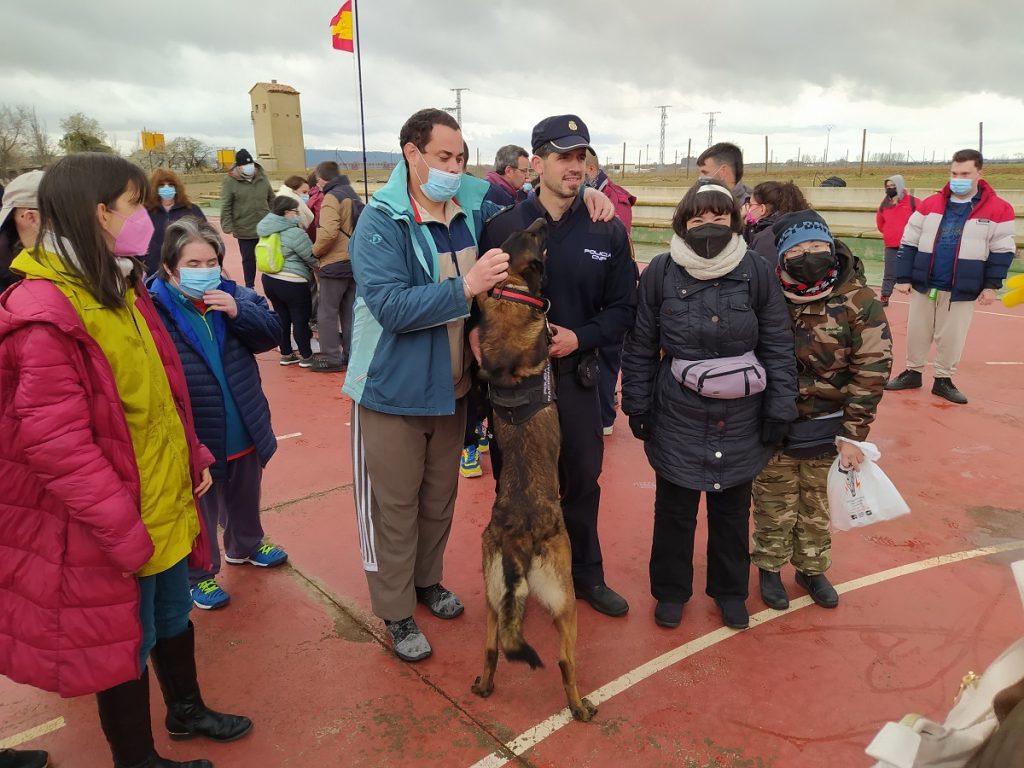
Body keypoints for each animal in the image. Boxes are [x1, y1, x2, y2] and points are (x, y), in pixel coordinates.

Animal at [468, 217, 598, 720]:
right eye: (535, 237)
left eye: (523, 232)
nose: (544, 219)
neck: (510, 290)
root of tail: (519, 539)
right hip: (566, 599)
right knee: (565, 662)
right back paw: (580, 706)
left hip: (492, 600)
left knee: (491, 649)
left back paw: (485, 685)